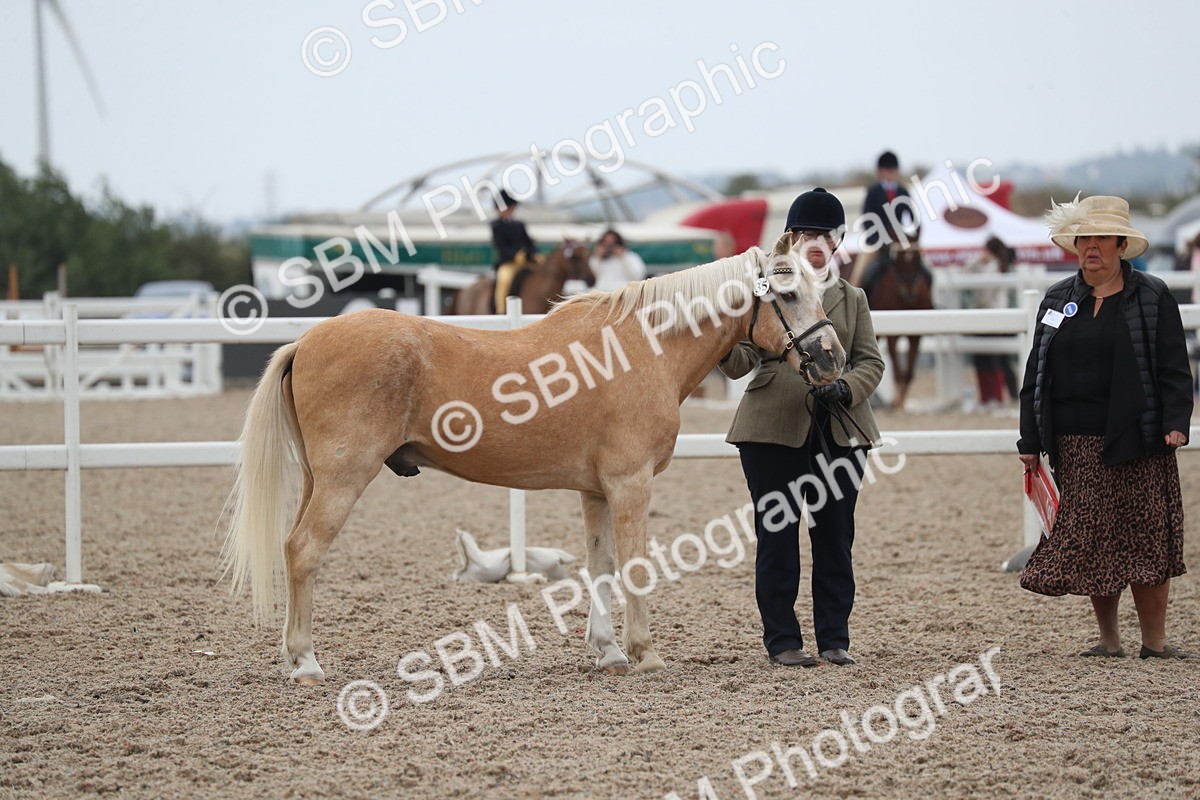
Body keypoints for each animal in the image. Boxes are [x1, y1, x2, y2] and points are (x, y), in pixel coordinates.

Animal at [865, 236, 933, 409]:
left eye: (918, 256)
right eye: (897, 259)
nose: (909, 292)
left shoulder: (916, 334)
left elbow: (908, 371)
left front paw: (900, 401)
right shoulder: (893, 335)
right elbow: (896, 369)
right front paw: (897, 402)